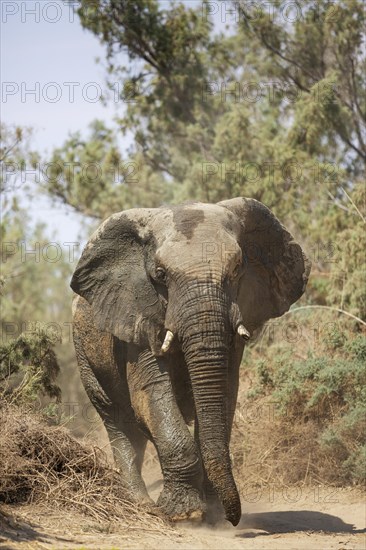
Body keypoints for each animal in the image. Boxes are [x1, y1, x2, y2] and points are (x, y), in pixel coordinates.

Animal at [70, 198, 310, 528]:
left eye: (238, 268)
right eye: (160, 274)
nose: (234, 520)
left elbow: (225, 391)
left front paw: (213, 513)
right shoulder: (138, 315)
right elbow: (150, 391)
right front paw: (184, 514)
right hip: (84, 353)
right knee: (118, 421)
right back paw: (140, 504)